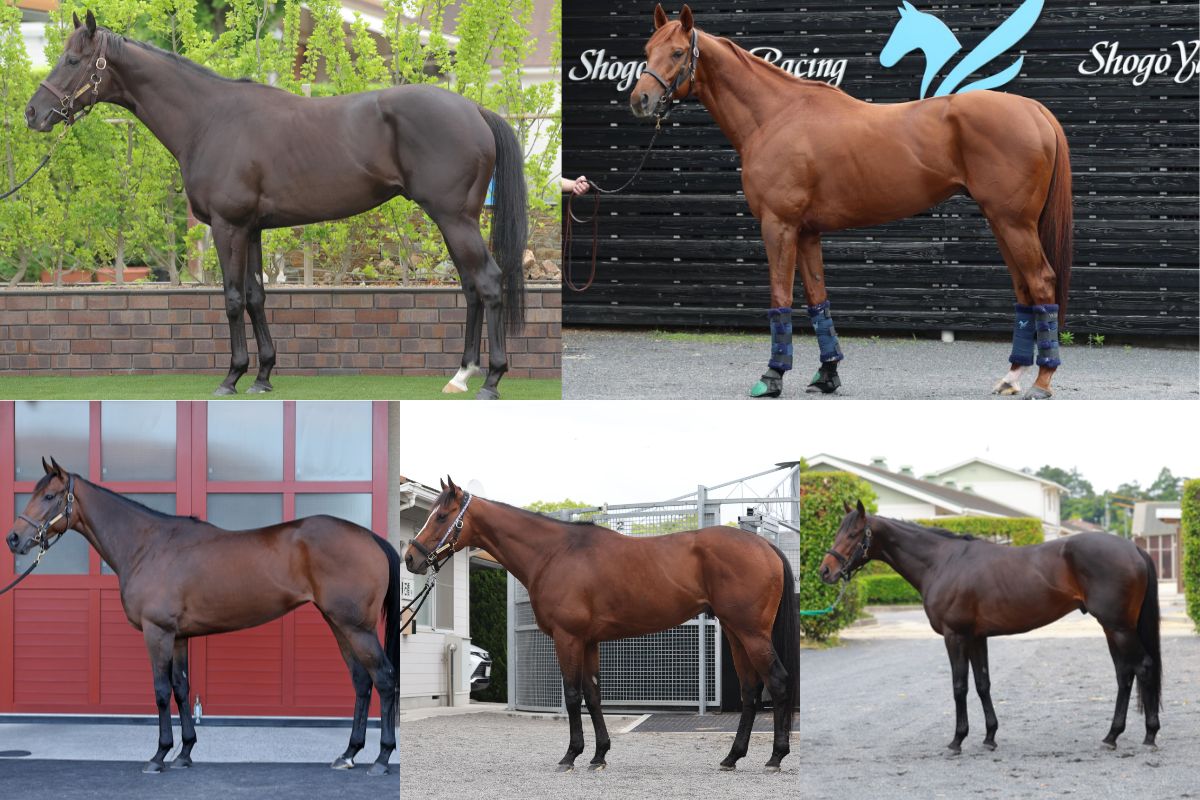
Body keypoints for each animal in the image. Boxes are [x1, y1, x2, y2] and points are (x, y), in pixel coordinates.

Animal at [5, 458, 402, 775]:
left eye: (50, 496)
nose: (13, 538)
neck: (148, 545)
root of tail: (371, 538)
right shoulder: (178, 636)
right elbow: (182, 689)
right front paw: (184, 754)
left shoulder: (157, 633)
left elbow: (161, 691)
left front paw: (159, 756)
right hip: (339, 624)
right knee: (361, 682)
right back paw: (348, 754)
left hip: (356, 627)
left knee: (383, 679)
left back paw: (381, 760)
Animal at [26, 11, 528, 400]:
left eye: (73, 60)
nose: (34, 114)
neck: (209, 120)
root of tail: (474, 109)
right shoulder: (251, 229)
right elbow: (256, 296)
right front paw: (263, 375)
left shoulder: (228, 226)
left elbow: (231, 298)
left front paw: (231, 377)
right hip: (454, 220)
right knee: (470, 286)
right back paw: (461, 374)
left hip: (454, 218)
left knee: (488, 281)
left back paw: (491, 380)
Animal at [404, 478, 799, 772]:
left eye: (442, 516)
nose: (410, 557)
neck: (555, 553)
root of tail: (764, 545)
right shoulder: (590, 641)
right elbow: (593, 695)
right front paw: (599, 755)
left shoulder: (567, 639)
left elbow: (572, 695)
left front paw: (570, 756)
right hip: (735, 633)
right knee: (750, 690)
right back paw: (732, 757)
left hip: (751, 633)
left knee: (777, 682)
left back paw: (775, 757)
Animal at [632, 5, 1073, 400]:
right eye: (647, 49)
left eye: (677, 53)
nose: (641, 100)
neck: (776, 116)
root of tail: (1033, 109)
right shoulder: (808, 232)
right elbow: (817, 300)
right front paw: (827, 376)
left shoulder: (779, 226)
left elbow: (780, 297)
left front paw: (773, 376)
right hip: (1002, 222)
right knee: (1023, 288)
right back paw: (1012, 377)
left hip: (1013, 223)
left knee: (1040, 282)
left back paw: (1042, 381)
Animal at [819, 500, 1161, 753]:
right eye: (838, 531)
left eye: (854, 534)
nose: (825, 571)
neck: (942, 562)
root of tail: (1133, 549)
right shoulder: (976, 637)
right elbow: (983, 683)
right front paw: (989, 737)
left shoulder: (955, 636)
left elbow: (959, 686)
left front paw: (957, 740)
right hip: (1112, 628)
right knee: (1124, 675)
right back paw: (1112, 736)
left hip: (1118, 628)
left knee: (1143, 667)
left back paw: (1149, 735)